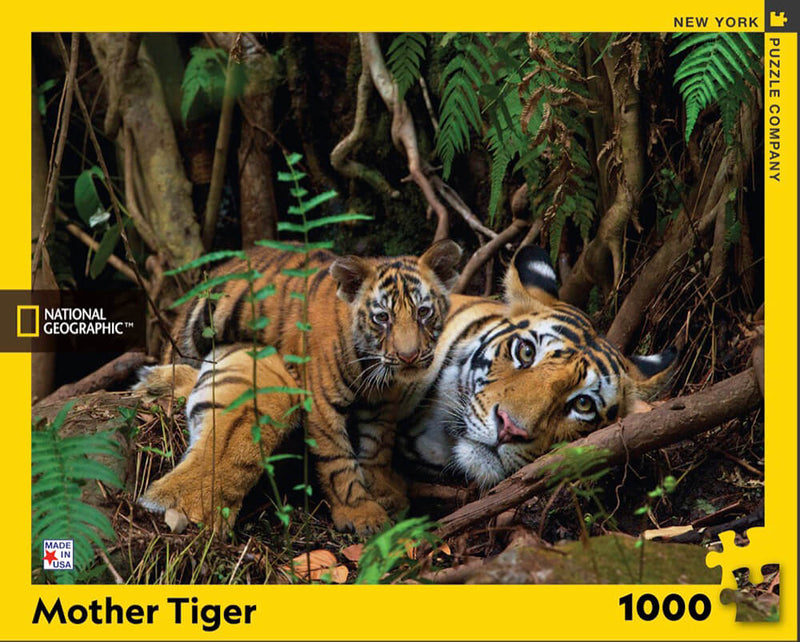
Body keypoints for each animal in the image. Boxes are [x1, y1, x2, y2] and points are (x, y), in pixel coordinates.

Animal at [137, 240, 462, 534]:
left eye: (423, 312)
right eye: (382, 317)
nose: (409, 356)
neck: (372, 365)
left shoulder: (381, 404)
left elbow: (378, 447)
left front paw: (384, 492)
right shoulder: (322, 403)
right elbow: (337, 460)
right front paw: (361, 514)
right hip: (192, 333)